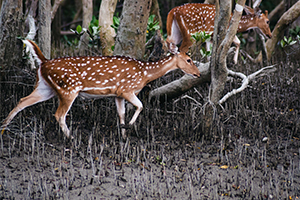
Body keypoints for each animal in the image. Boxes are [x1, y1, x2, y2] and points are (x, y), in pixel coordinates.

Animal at [2, 39, 200, 139]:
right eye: (189, 59)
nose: (198, 74)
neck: (144, 74)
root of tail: (43, 63)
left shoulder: (117, 94)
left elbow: (121, 113)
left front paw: (124, 135)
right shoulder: (127, 89)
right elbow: (141, 106)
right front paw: (129, 127)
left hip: (45, 87)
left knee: (22, 101)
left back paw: (3, 128)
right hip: (68, 89)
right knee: (59, 114)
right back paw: (71, 138)